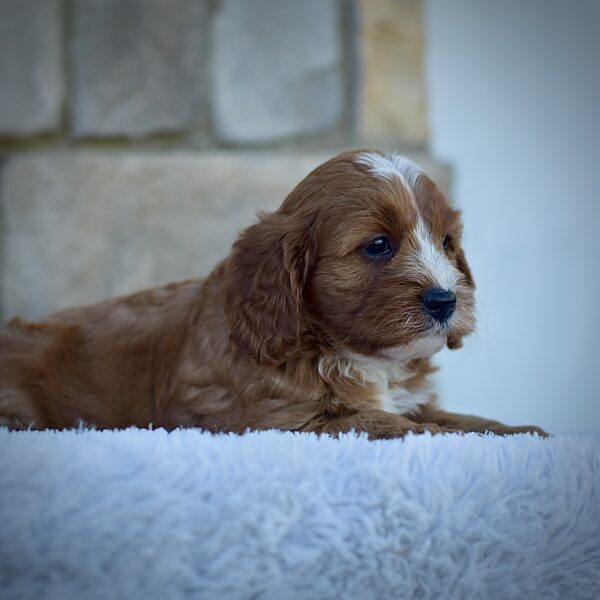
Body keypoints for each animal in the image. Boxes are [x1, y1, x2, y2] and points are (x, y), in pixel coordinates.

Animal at [0, 150, 548, 438]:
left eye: (447, 243)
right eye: (378, 245)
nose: (444, 301)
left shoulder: (408, 402)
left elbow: (456, 417)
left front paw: (522, 431)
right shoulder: (285, 419)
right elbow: (404, 426)